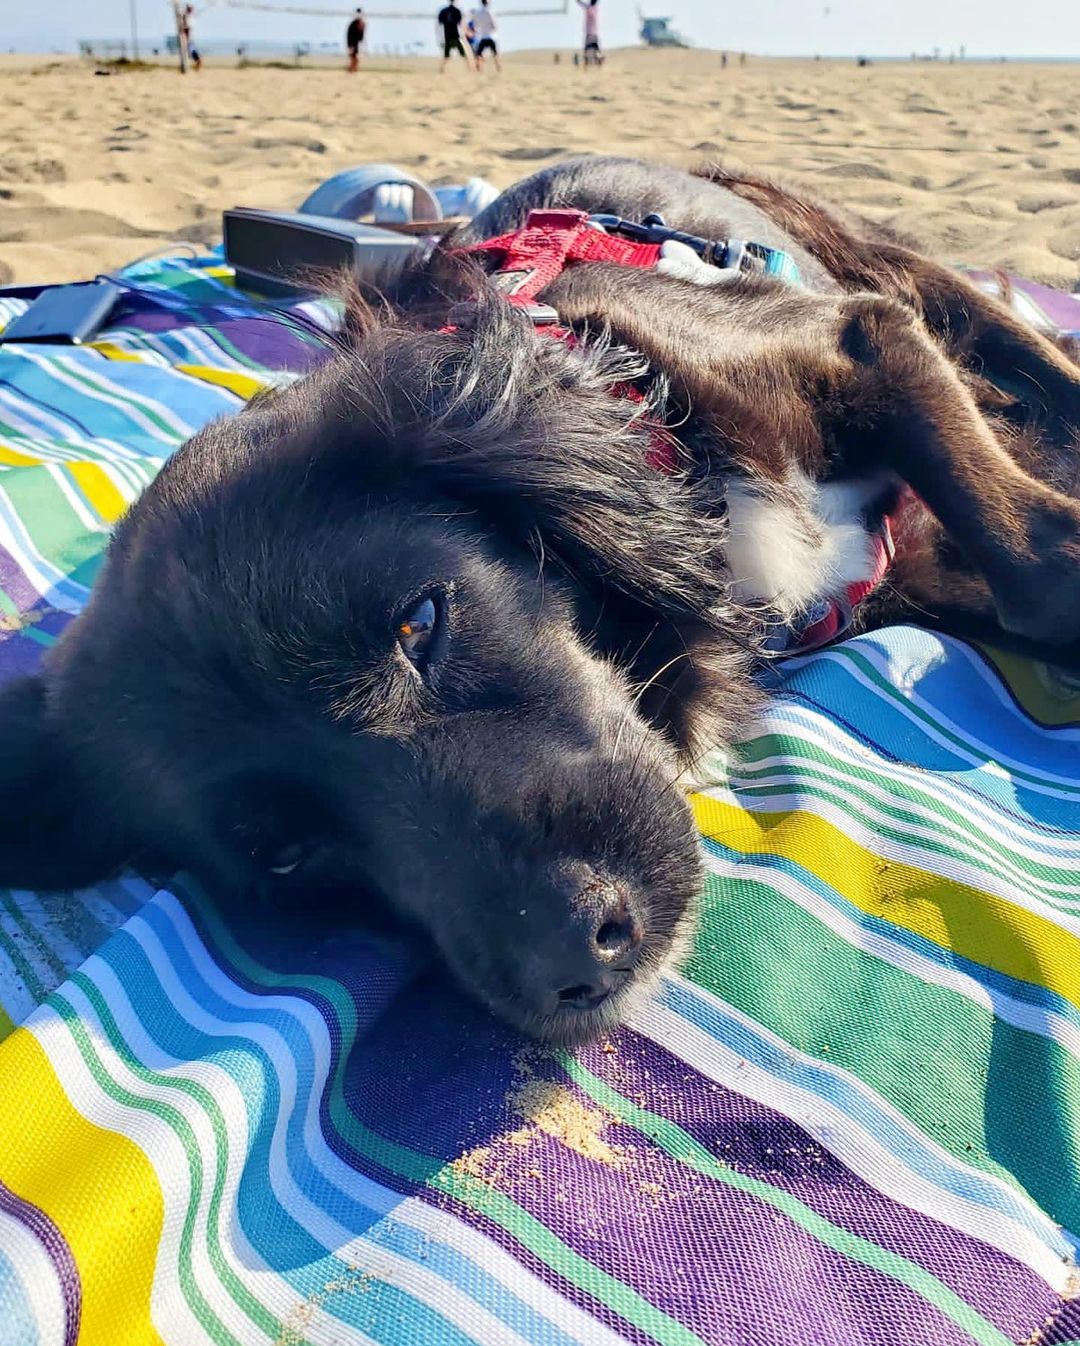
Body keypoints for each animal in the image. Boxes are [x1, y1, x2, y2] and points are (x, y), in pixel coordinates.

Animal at [2, 157, 1077, 1039]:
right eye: (286, 856)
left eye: (421, 623)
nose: (569, 965)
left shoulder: (865, 342)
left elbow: (1039, 567)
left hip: (897, 274)